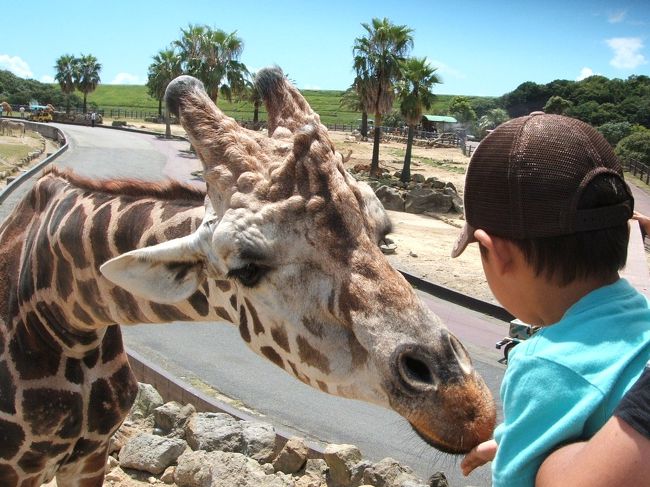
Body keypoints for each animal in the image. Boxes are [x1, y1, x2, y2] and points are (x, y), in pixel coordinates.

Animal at [0, 66, 492, 486]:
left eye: (382, 232)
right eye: (246, 268)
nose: (468, 404)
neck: (67, 319)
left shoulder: (92, 452)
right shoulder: (21, 468)